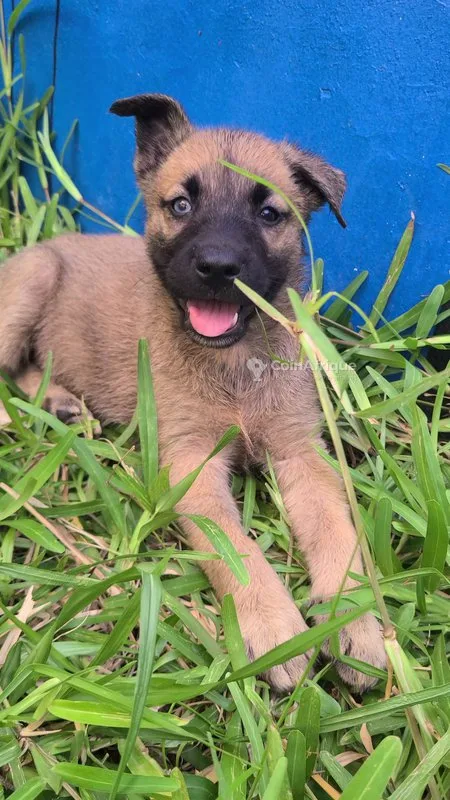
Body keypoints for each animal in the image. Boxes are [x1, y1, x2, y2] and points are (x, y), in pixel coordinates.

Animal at [0, 94, 386, 691]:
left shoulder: (301, 452)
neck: (231, 362)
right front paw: (275, 629)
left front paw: (353, 620)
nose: (218, 267)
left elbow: (337, 533)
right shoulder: (189, 465)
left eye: (269, 214)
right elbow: (235, 549)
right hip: (31, 284)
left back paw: (59, 402)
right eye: (180, 205)